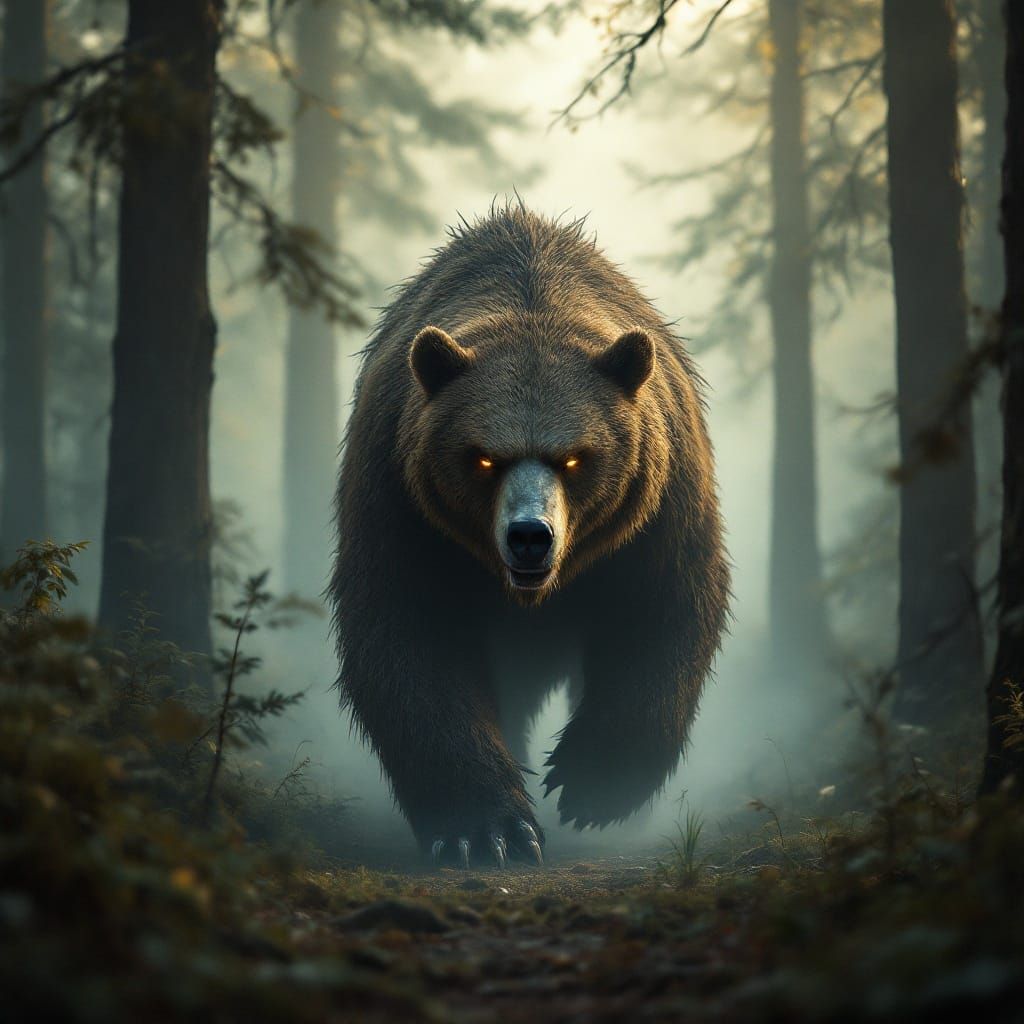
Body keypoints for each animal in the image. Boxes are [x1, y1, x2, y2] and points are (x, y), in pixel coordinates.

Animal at [331, 204, 729, 867]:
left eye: (574, 457)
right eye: (483, 458)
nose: (529, 536)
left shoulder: (657, 509)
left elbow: (662, 613)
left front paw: (592, 783)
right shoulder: (401, 503)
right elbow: (407, 638)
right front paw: (485, 829)